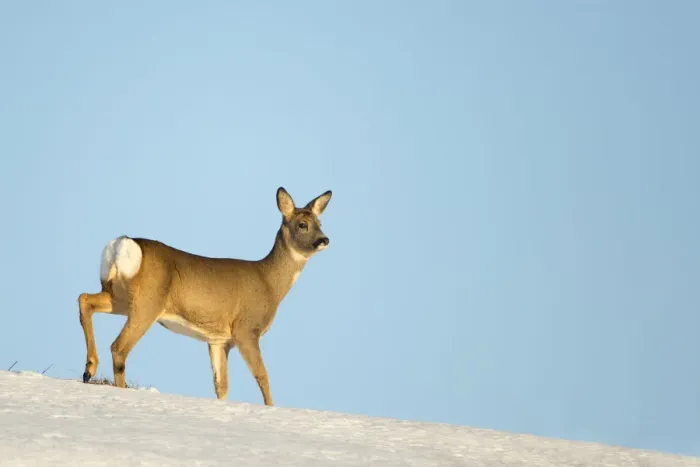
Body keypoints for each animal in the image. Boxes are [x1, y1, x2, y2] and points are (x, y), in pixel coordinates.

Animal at [77, 187, 332, 406]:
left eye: (320, 223)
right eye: (302, 224)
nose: (324, 240)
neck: (269, 283)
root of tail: (122, 244)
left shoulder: (218, 340)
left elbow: (221, 385)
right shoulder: (246, 329)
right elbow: (262, 375)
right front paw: (271, 408)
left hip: (119, 297)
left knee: (84, 299)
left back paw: (89, 369)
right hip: (147, 304)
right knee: (119, 347)